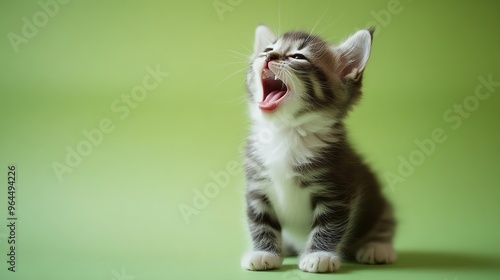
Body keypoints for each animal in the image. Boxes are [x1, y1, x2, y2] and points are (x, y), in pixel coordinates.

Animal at [240, 26, 396, 274]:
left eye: (298, 56)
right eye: (267, 49)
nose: (269, 56)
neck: (286, 133)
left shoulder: (336, 188)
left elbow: (330, 225)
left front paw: (319, 256)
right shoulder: (257, 187)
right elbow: (259, 221)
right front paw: (263, 252)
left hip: (380, 205)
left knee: (385, 223)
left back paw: (377, 247)